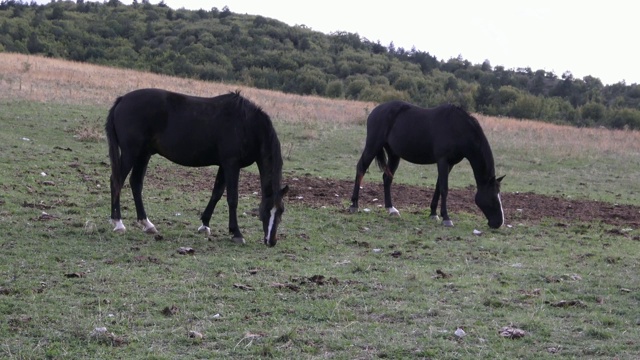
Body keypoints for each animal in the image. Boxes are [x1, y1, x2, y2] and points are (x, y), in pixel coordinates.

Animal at [104, 89, 288, 248]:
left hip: (144, 153)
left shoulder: (224, 165)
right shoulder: (231, 164)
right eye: (265, 211)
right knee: (116, 181)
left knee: (135, 183)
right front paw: (236, 233)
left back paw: (147, 224)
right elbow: (232, 198)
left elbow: (216, 194)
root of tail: (122, 100)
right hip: (131, 152)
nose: (271, 241)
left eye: (281, 211)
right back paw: (118, 223)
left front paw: (205, 225)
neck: (247, 124)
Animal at [350, 101, 504, 228]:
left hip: (394, 154)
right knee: (361, 168)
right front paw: (446, 218)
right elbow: (444, 188)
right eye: (492, 197)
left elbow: (438, 187)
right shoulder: (443, 161)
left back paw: (391, 209)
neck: (458, 129)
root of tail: (375, 111)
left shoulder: (450, 164)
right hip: (373, 146)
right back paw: (354, 205)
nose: (499, 223)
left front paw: (434, 214)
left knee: (387, 178)